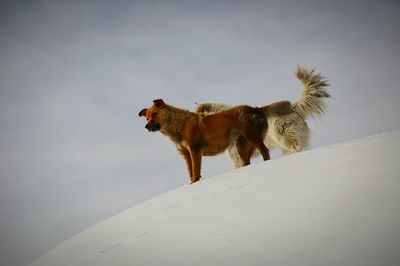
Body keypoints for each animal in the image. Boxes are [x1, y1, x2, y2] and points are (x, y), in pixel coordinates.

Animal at [140, 98, 290, 184]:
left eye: (154, 114)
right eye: (147, 117)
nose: (146, 126)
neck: (180, 125)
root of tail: (256, 109)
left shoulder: (194, 150)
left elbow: (195, 170)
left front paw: (196, 182)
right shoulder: (185, 154)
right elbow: (190, 171)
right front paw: (191, 184)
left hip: (253, 138)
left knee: (265, 151)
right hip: (242, 148)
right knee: (247, 161)